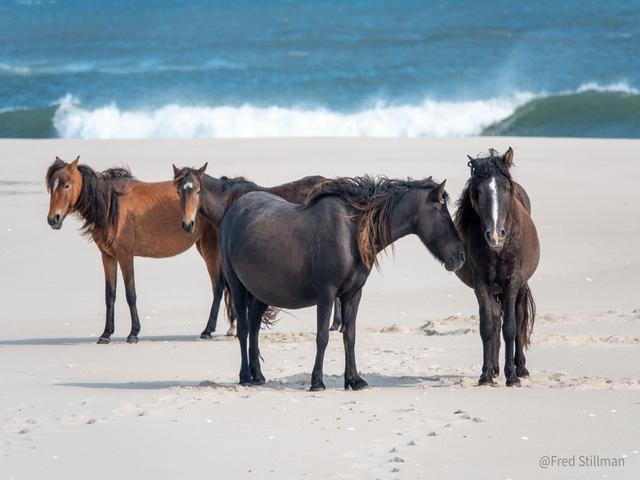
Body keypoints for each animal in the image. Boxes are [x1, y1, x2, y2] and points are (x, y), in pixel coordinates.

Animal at [46, 156, 222, 343]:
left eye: (67, 185)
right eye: (51, 187)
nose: (53, 219)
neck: (111, 205)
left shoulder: (125, 256)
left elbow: (130, 294)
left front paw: (133, 333)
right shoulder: (108, 256)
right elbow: (110, 295)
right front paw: (106, 334)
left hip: (210, 249)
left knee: (218, 287)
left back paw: (208, 330)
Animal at [171, 164, 343, 337]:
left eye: (198, 191)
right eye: (178, 192)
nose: (188, 224)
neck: (229, 204)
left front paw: (213, 329)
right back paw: (336, 324)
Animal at [219, 175, 466, 390]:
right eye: (442, 213)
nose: (461, 256)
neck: (351, 233)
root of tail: (233, 212)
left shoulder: (353, 294)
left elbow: (350, 336)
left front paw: (354, 380)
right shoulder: (327, 294)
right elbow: (322, 336)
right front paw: (317, 381)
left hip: (262, 293)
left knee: (254, 328)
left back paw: (258, 375)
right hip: (238, 287)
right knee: (243, 328)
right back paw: (245, 376)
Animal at [454, 147, 540, 386]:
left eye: (505, 188)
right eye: (477, 191)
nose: (494, 235)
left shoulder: (513, 282)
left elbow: (510, 327)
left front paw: (512, 376)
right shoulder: (481, 284)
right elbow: (487, 327)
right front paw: (485, 374)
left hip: (520, 287)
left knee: (518, 317)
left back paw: (521, 368)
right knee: (495, 320)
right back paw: (493, 369)